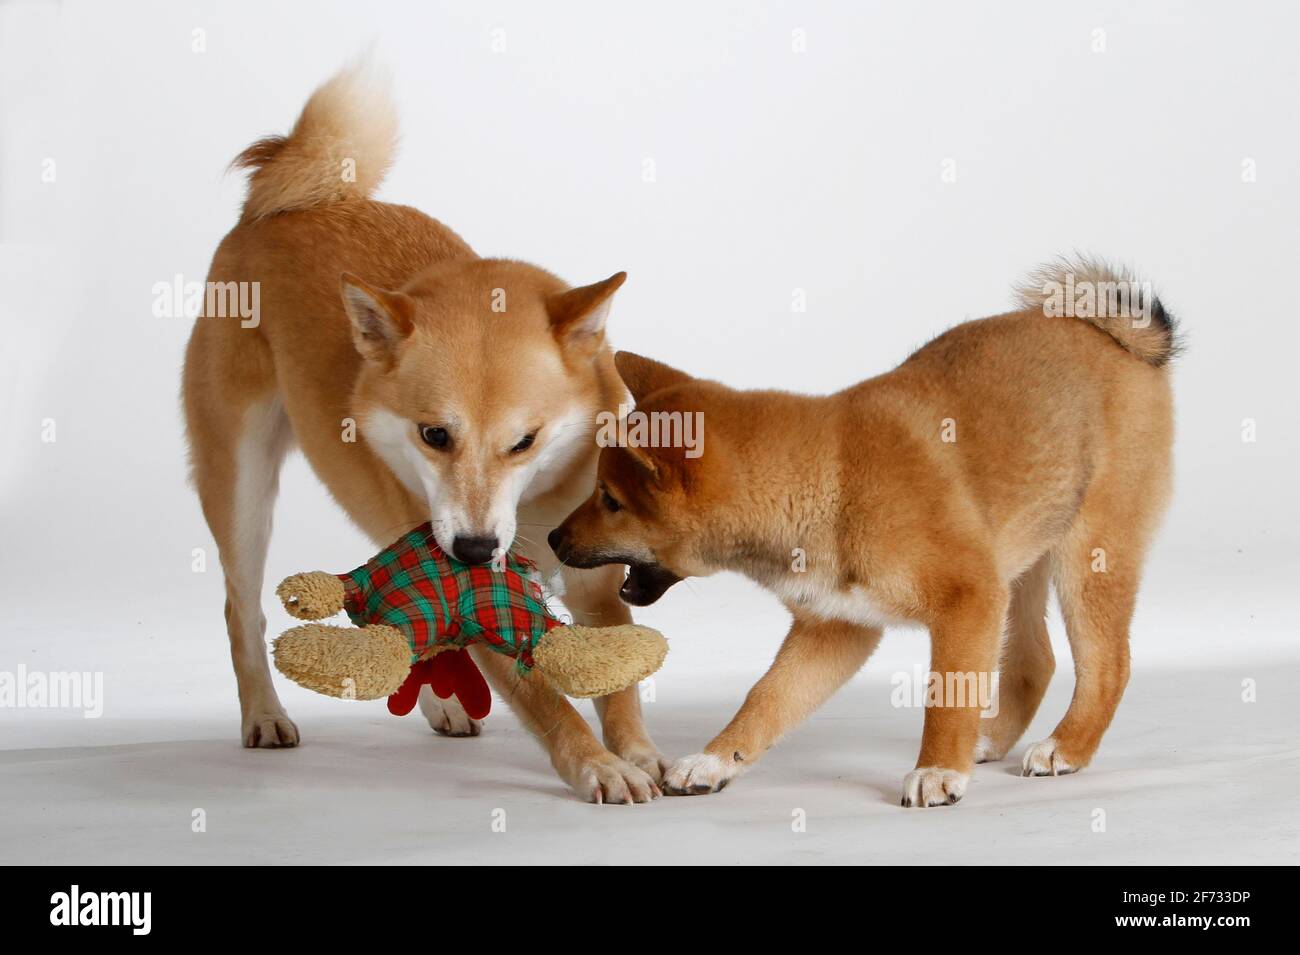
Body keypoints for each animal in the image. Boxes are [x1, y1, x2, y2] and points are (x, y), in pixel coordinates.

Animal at [180, 63, 670, 805]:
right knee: (244, 611)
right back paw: (264, 714)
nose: (473, 549)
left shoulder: (595, 587)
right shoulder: (478, 590)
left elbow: (621, 686)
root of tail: (280, 206)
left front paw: (638, 752)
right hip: (241, 484)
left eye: (524, 442)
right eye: (434, 434)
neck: (536, 508)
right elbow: (549, 701)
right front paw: (597, 764)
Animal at [548, 265, 1180, 810]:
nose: (552, 537)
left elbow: (944, 696)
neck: (832, 480)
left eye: (610, 500)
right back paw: (990, 739)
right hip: (1020, 561)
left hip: (1086, 558)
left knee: (1108, 665)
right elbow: (766, 698)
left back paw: (1066, 747)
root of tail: (1109, 336)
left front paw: (938, 771)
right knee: (1036, 662)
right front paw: (714, 761)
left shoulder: (967, 597)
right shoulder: (837, 627)